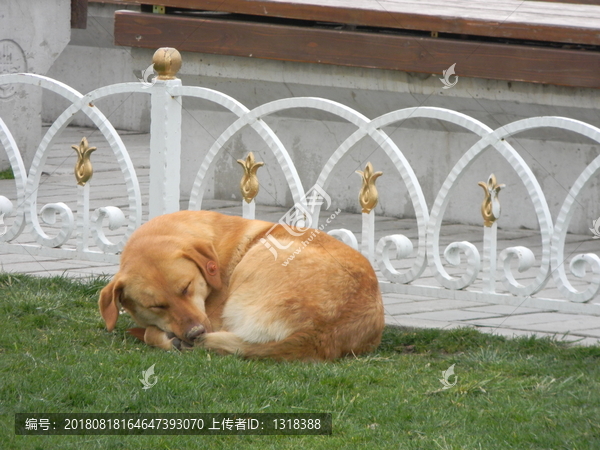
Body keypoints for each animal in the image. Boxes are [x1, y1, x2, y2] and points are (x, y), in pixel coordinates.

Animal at [96, 211, 382, 362]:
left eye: (187, 288)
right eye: (157, 305)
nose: (195, 333)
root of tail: (317, 333)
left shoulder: (212, 317)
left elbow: (149, 333)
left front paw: (160, 336)